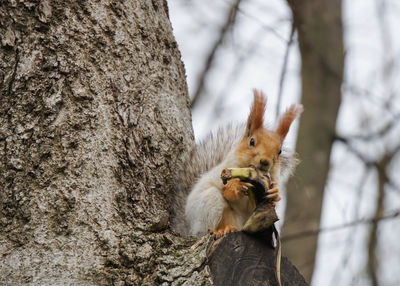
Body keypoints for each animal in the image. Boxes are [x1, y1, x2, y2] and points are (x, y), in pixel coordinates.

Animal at [170, 90, 304, 237]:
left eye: (279, 151)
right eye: (252, 141)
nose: (265, 161)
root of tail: (187, 228)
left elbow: (255, 206)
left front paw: (275, 192)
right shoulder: (222, 173)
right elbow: (227, 192)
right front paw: (236, 187)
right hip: (208, 205)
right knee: (208, 225)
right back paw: (221, 230)